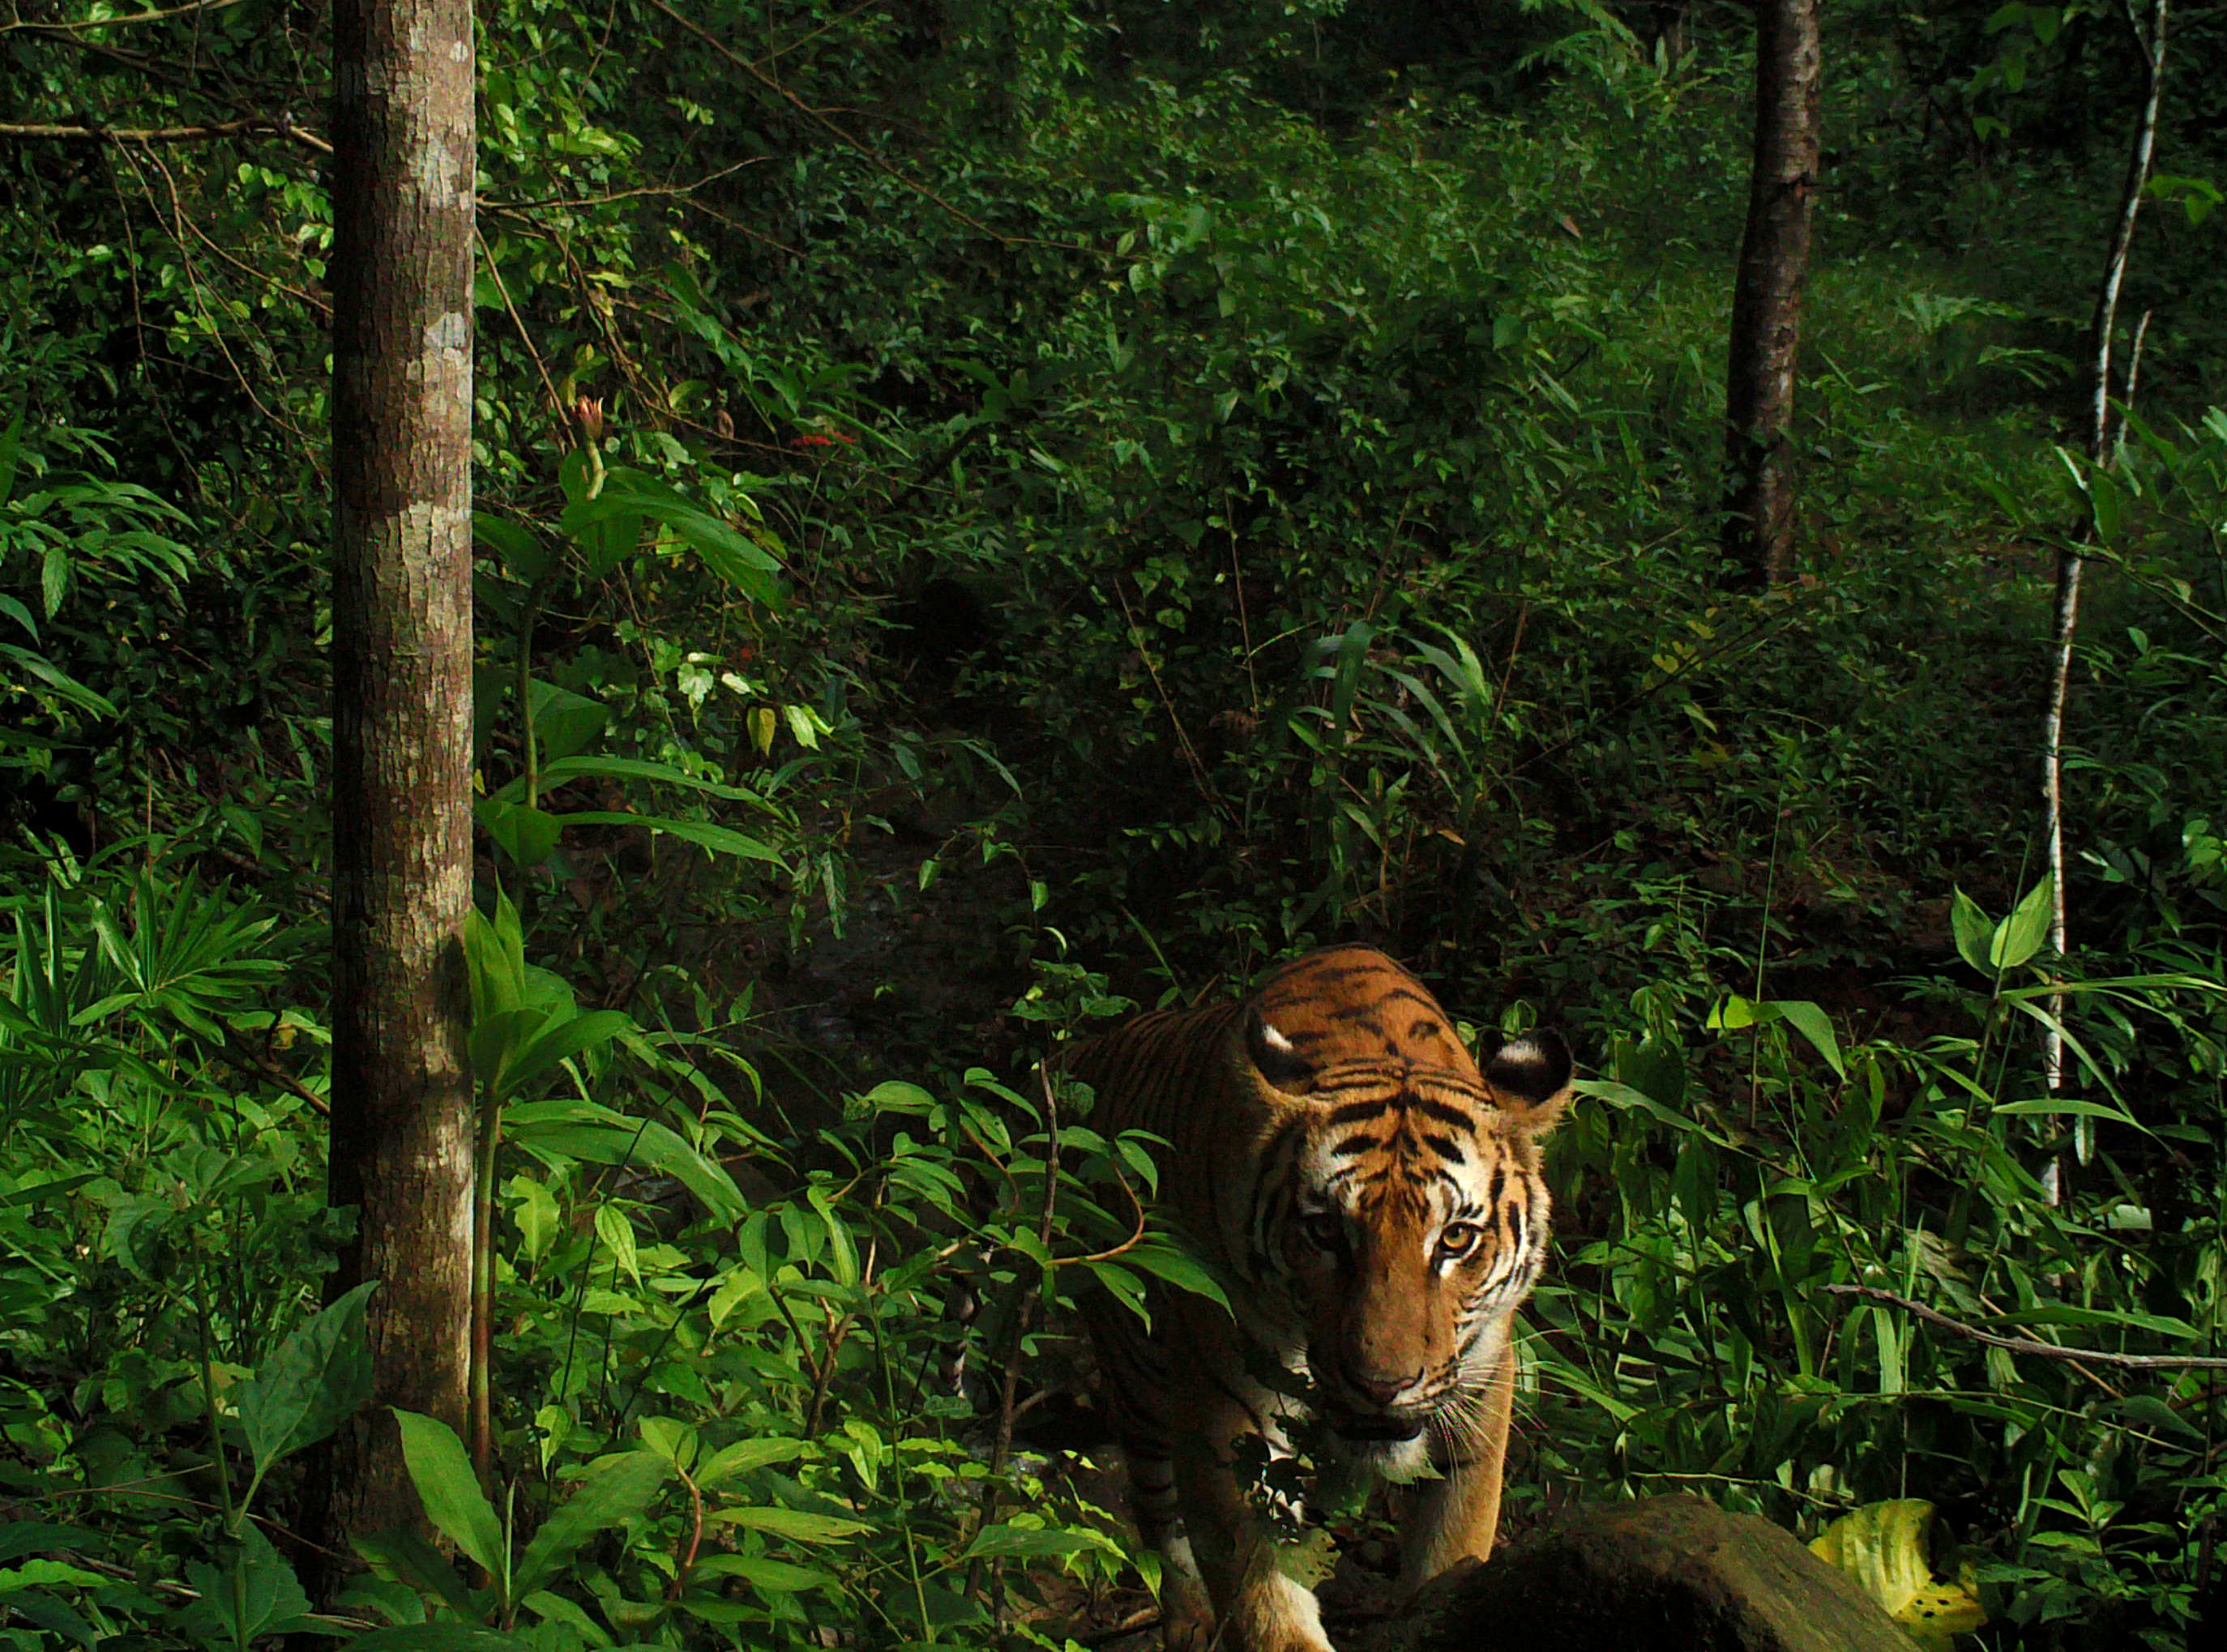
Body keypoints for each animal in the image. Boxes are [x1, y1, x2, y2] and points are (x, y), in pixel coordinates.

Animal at [1073, 944, 1567, 1652]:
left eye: (1455, 1237)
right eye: (1327, 1231)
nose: (1382, 1385)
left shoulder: (1478, 1392)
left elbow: (1454, 1544)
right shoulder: (1227, 1420)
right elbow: (1265, 1600)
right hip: (1135, 1372)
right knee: (1157, 1511)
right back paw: (1189, 1621)